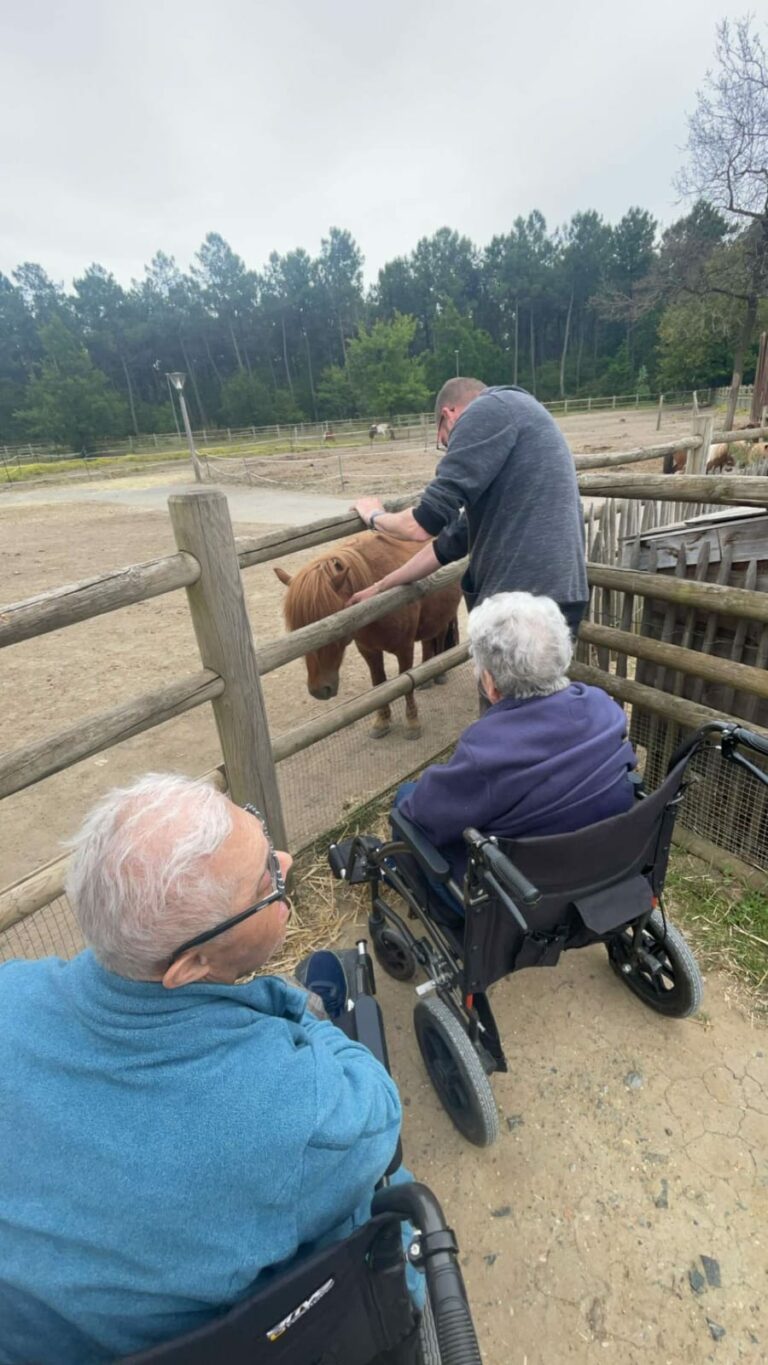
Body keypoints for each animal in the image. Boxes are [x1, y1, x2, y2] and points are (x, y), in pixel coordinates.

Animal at [272, 535, 461, 748]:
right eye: (298, 631)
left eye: (333, 628)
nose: (319, 691)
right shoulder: (368, 651)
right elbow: (379, 684)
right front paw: (382, 721)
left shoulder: (405, 648)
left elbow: (406, 683)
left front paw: (412, 723)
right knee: (428, 642)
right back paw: (427, 679)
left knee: (440, 635)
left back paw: (440, 674)